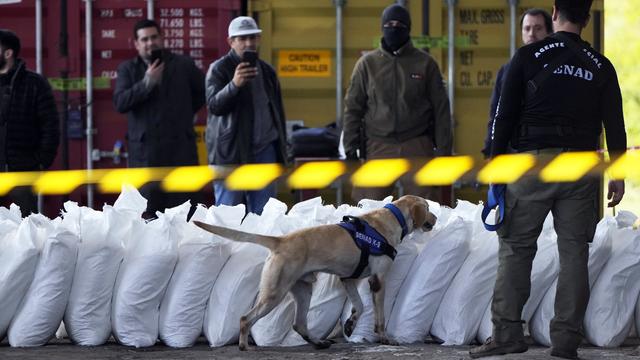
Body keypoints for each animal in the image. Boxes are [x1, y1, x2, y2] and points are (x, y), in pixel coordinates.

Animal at [194, 195, 436, 350]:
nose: (435, 218)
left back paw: (319, 342)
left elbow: (359, 306)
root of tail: (281, 240)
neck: (393, 218)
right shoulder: (378, 280)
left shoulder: (349, 279)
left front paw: (350, 324)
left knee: (299, 324)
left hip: (303, 290)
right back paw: (244, 346)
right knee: (246, 318)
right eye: (427, 207)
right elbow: (379, 316)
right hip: (275, 292)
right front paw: (385, 338)